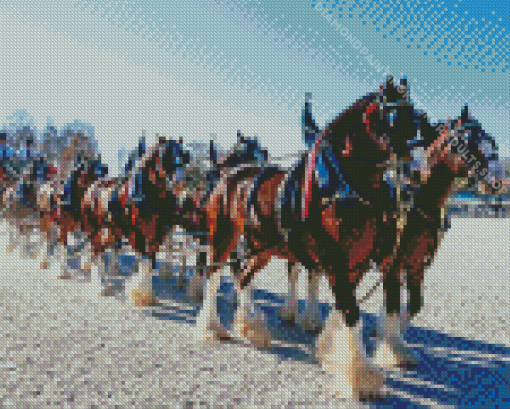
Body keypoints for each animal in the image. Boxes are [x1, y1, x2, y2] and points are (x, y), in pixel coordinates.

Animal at [191, 76, 422, 398]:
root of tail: (229, 174)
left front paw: (329, 350)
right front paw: (359, 375)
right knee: (214, 276)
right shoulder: (335, 258)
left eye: (416, 121)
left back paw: (252, 327)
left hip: (261, 248)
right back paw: (212, 328)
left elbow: (348, 306)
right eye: (391, 118)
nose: (414, 176)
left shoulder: (361, 259)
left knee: (243, 278)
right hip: (223, 236)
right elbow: (351, 311)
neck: (341, 183)